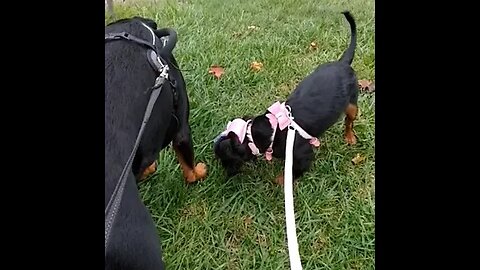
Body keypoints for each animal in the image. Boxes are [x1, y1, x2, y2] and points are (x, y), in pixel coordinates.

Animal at [216, 10, 358, 184]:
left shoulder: (303, 156)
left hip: (352, 104)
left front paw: (280, 180)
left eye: (225, 159)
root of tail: (343, 63)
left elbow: (292, 172)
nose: (226, 176)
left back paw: (349, 137)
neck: (270, 130)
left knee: (349, 121)